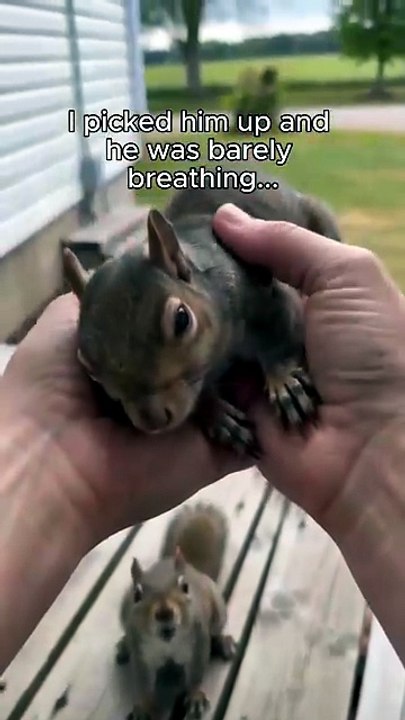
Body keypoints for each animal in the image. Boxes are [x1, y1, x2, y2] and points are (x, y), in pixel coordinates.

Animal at [63, 171, 342, 456]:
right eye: (88, 366)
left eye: (182, 319)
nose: (153, 420)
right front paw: (217, 415)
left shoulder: (264, 297)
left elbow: (281, 338)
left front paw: (284, 382)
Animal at [117, 503, 236, 720]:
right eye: (137, 594)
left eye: (185, 587)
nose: (165, 613)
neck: (167, 643)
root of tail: (192, 567)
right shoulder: (141, 653)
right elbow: (143, 682)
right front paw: (144, 706)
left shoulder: (198, 642)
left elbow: (196, 673)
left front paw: (195, 697)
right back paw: (124, 644)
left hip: (218, 613)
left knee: (216, 632)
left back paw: (223, 642)